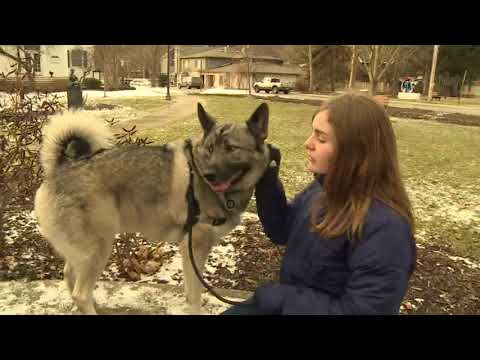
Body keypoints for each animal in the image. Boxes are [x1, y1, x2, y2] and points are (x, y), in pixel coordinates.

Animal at [34, 102, 270, 316]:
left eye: (231, 148)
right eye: (210, 148)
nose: (209, 175)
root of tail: (61, 167)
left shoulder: (190, 252)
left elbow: (190, 289)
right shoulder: (195, 247)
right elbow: (195, 294)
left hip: (83, 251)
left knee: (69, 276)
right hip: (97, 249)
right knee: (80, 293)